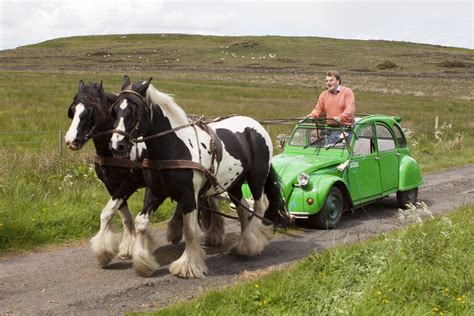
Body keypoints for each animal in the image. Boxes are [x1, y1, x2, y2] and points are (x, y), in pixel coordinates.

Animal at [65, 80, 226, 268]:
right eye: (73, 110)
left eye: (90, 110)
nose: (70, 141)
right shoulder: (111, 185)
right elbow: (120, 215)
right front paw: (127, 247)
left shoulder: (130, 183)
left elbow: (113, 213)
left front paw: (113, 249)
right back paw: (176, 230)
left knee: (209, 199)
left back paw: (213, 234)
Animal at [110, 75, 288, 278]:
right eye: (115, 110)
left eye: (135, 110)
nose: (117, 146)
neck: (173, 146)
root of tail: (256, 125)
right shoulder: (155, 192)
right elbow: (141, 222)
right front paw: (143, 263)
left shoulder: (189, 195)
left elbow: (189, 230)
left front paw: (187, 265)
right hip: (234, 183)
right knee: (243, 209)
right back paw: (244, 244)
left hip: (256, 177)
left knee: (260, 205)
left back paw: (250, 242)